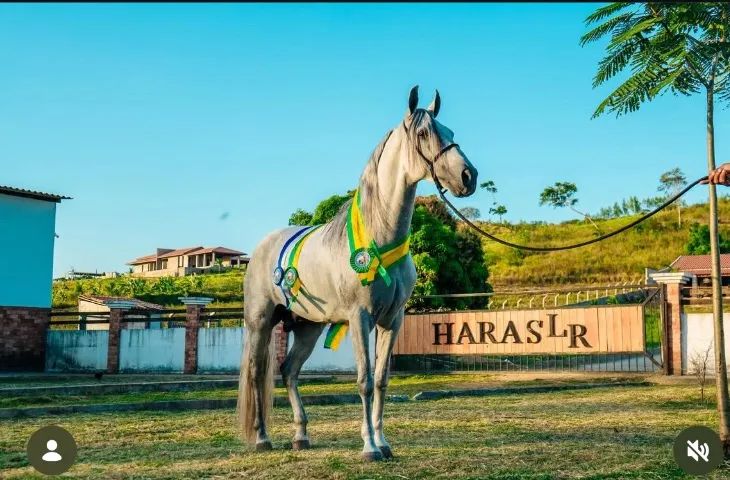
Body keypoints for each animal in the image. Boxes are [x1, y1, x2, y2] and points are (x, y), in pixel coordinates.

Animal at [237, 86, 478, 461]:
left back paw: (301, 435)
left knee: (289, 371)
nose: (469, 177)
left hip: (308, 327)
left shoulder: (392, 320)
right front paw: (368, 447)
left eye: (450, 132)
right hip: (260, 322)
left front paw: (384, 442)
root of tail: (263, 245)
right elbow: (363, 380)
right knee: (256, 373)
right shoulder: (359, 317)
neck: (379, 236)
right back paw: (262, 437)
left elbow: (381, 380)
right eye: (424, 134)